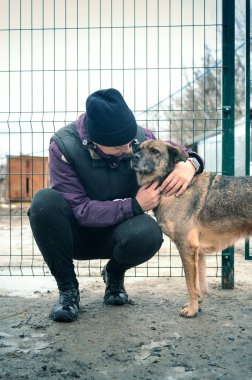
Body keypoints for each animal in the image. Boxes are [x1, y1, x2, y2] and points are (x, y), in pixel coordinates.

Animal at [131, 140, 251, 318]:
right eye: (138, 148)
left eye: (154, 151)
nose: (133, 157)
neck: (166, 182)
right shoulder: (198, 253)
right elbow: (200, 287)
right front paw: (197, 307)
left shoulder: (187, 249)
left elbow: (191, 286)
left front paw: (192, 310)